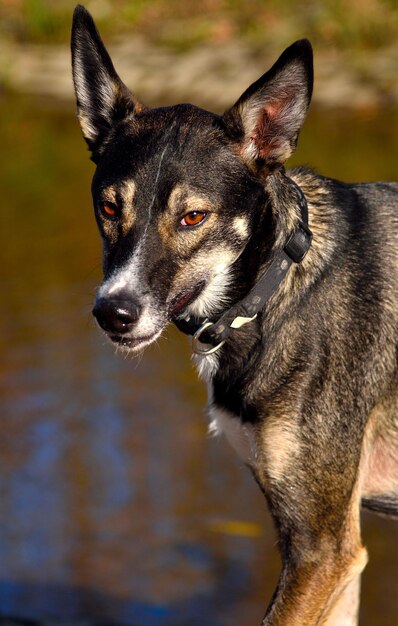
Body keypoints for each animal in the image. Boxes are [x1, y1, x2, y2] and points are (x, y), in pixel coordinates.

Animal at [71, 6, 398, 624]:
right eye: (108, 207)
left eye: (194, 217)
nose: (113, 313)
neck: (272, 294)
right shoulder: (335, 554)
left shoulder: (321, 549)